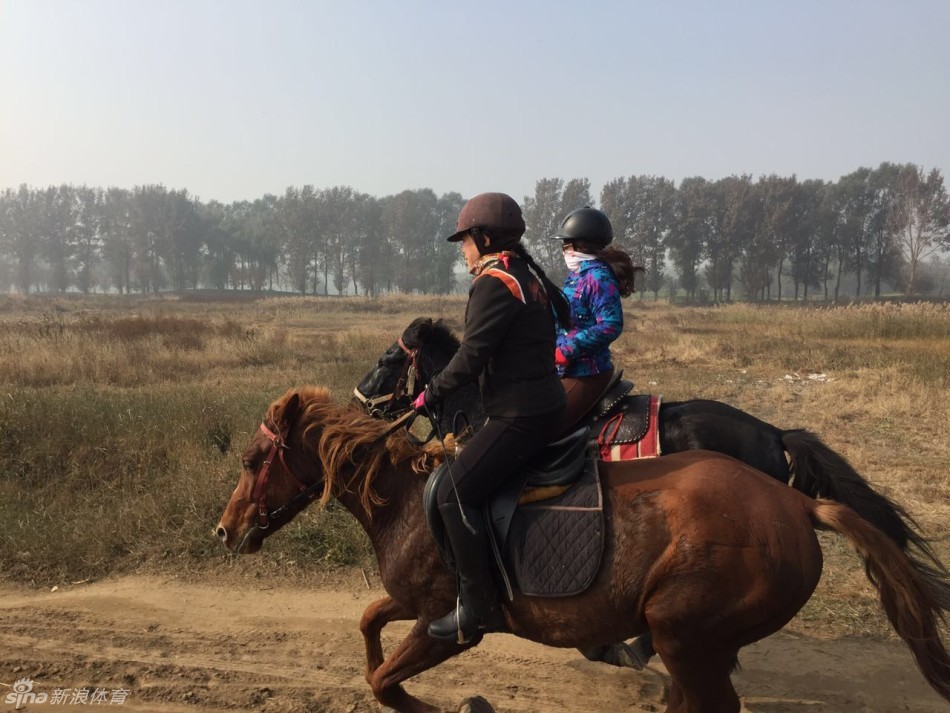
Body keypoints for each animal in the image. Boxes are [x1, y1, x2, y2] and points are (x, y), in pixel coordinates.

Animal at [215, 386, 950, 713]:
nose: (224, 529)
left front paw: (461, 705)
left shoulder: (448, 625)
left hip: (685, 632)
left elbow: (384, 678)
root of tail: (797, 504)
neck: (407, 495)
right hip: (692, 642)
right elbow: (370, 628)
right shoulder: (413, 602)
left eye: (253, 459)